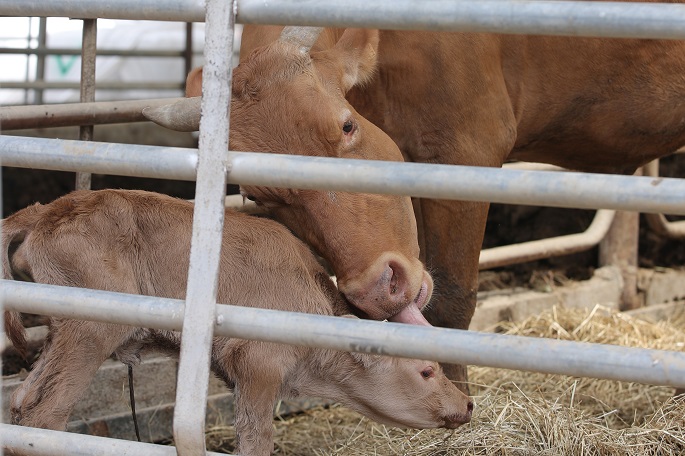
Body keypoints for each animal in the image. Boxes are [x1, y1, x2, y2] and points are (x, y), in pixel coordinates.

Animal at [1, 190, 470, 456]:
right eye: (426, 371)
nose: (466, 404)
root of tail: (48, 209)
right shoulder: (259, 369)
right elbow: (256, 440)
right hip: (90, 332)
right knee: (46, 412)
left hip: (61, 335)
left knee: (22, 398)